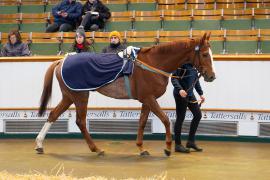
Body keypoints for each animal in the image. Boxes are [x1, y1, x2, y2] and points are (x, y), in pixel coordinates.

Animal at [35, 32, 215, 156]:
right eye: (205, 54)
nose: (211, 76)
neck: (153, 63)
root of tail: (62, 60)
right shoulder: (149, 99)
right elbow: (165, 120)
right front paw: (167, 148)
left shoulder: (147, 100)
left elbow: (142, 122)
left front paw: (141, 148)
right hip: (80, 96)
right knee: (80, 121)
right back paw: (96, 148)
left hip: (69, 96)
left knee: (53, 114)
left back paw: (39, 144)